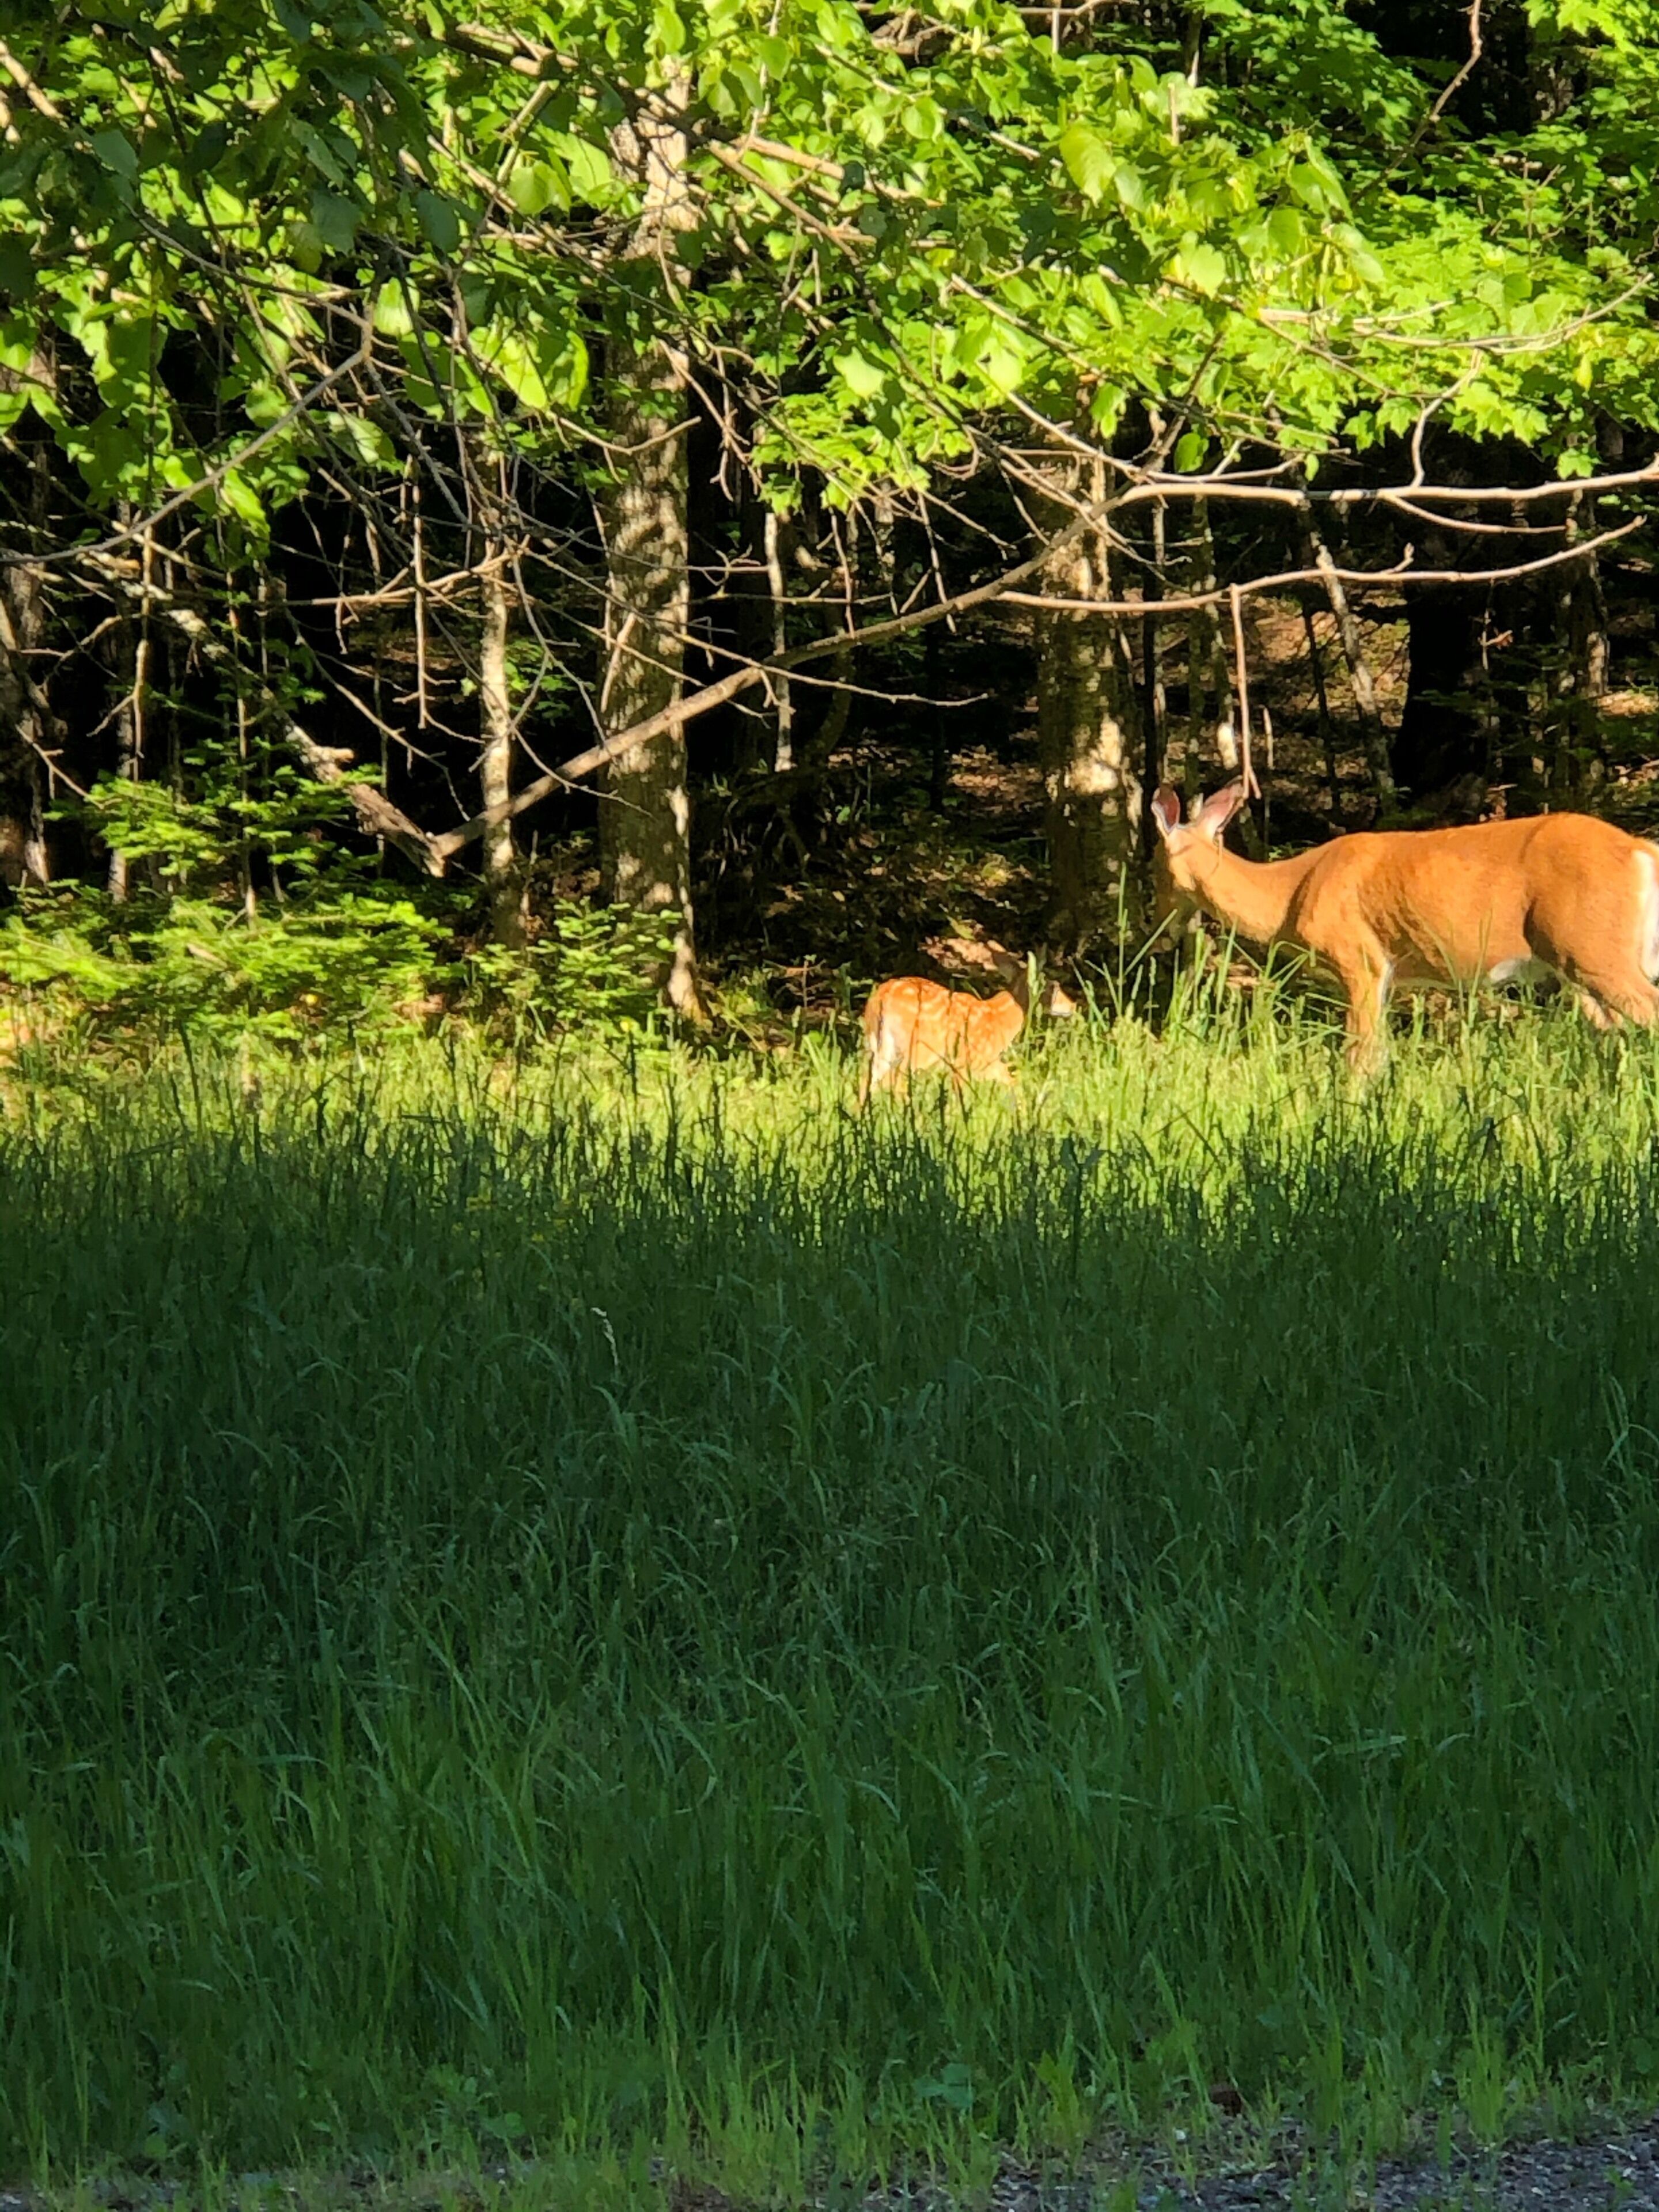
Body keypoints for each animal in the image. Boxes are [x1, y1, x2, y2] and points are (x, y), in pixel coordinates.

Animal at [857, 945, 1075, 1104]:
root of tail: (882, 996)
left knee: (868, 1080)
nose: (1073, 1005)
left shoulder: (988, 1063)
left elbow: (1013, 1082)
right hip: (917, 1047)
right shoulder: (966, 1061)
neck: (1002, 1019)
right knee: (895, 1081)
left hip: (876, 1044)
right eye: (1053, 986)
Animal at [1150, 780, 1659, 1074]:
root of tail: (1641, 851)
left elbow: (1359, 1057)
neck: (1290, 895)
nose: (1158, 921)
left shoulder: (1358, 957)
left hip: (1595, 949)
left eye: (1152, 862)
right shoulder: (1388, 976)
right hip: (1581, 964)